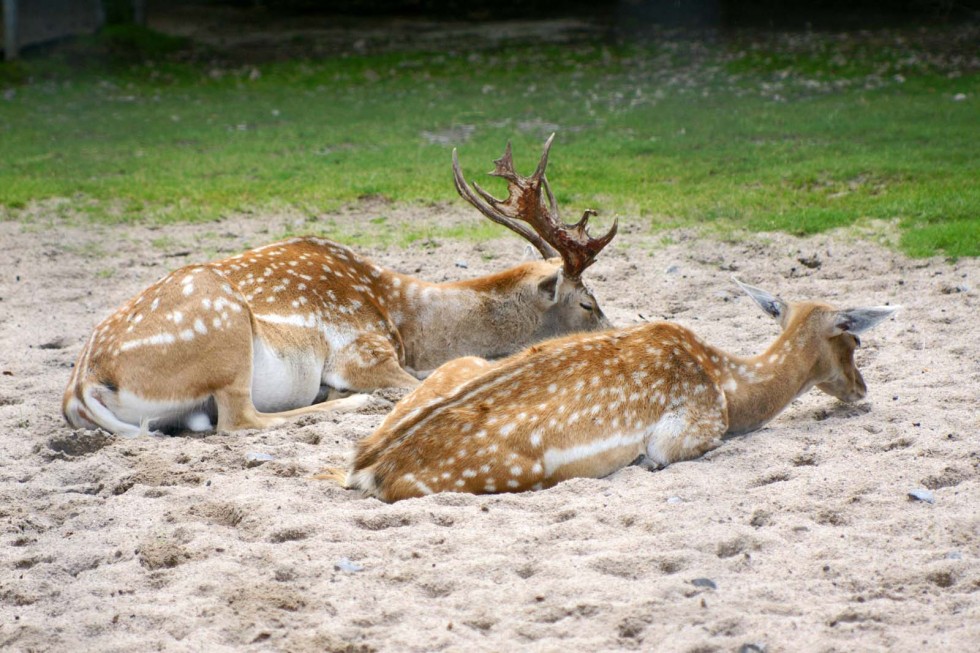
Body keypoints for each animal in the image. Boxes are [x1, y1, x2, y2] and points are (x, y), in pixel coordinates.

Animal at [65, 135, 620, 436]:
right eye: (588, 303)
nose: (613, 340)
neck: (404, 321)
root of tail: (80, 389)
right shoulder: (364, 350)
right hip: (223, 330)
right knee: (240, 419)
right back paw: (347, 403)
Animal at [328, 278, 896, 502]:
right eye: (855, 337)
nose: (862, 390)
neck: (731, 388)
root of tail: (366, 468)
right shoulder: (689, 428)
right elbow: (663, 455)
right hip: (514, 472)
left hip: (452, 368)